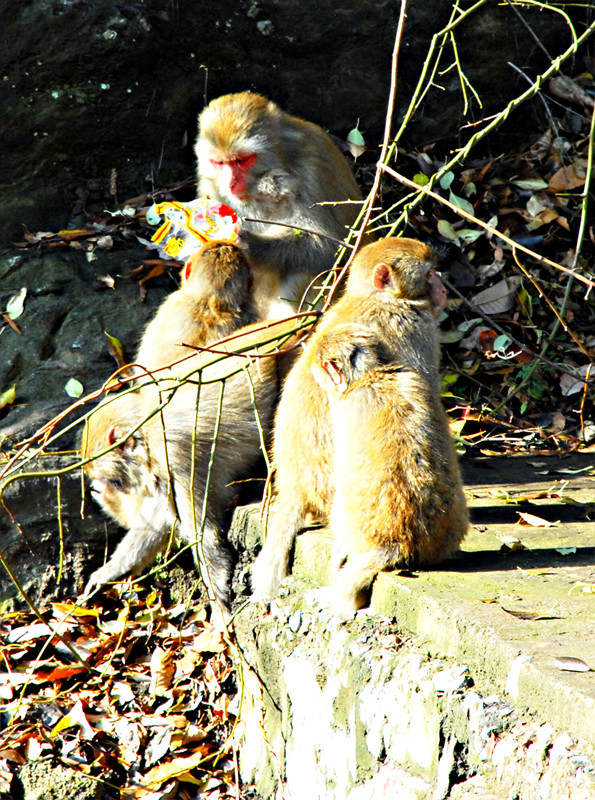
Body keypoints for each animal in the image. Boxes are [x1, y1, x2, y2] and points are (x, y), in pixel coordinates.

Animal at [196, 92, 366, 318]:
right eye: (220, 163)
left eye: (242, 160)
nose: (231, 183)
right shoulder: (209, 186)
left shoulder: (311, 169)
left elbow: (331, 247)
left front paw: (251, 245)